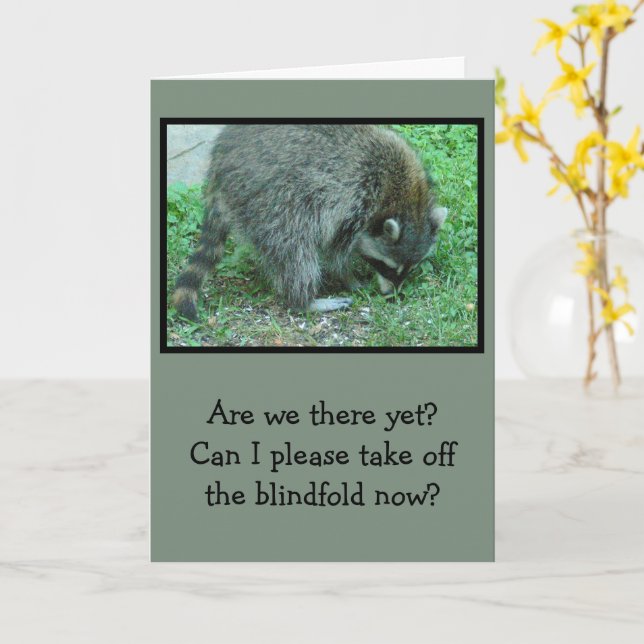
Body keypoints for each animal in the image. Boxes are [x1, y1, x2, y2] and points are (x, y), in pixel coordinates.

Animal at [172, 124, 447, 319]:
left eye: (410, 268)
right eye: (388, 267)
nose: (392, 295)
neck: (406, 199)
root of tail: (219, 161)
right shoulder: (354, 203)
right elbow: (336, 253)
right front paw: (350, 279)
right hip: (268, 196)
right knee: (293, 248)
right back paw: (304, 301)